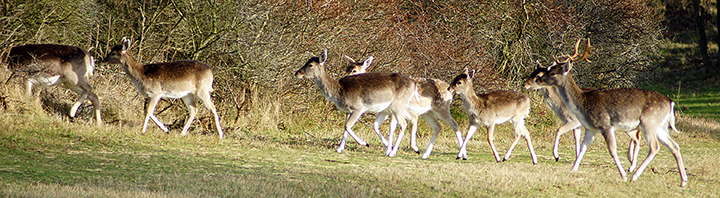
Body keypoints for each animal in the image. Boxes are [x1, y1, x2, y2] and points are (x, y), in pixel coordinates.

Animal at [536, 38, 688, 187]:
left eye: (553, 73)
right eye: (549, 69)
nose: (539, 79)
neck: (583, 103)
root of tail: (671, 103)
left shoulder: (605, 124)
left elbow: (612, 150)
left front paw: (623, 175)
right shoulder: (590, 129)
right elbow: (583, 148)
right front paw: (572, 170)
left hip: (649, 122)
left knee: (654, 147)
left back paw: (634, 176)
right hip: (660, 126)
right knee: (674, 146)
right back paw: (683, 181)